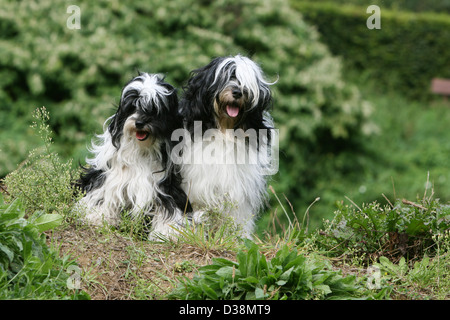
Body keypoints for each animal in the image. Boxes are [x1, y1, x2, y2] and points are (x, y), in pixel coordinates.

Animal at [77, 72, 190, 238]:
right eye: (132, 107)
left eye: (155, 109)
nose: (140, 123)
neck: (142, 148)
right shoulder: (110, 175)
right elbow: (103, 193)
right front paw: (97, 217)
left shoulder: (165, 184)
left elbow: (169, 205)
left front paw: (168, 231)